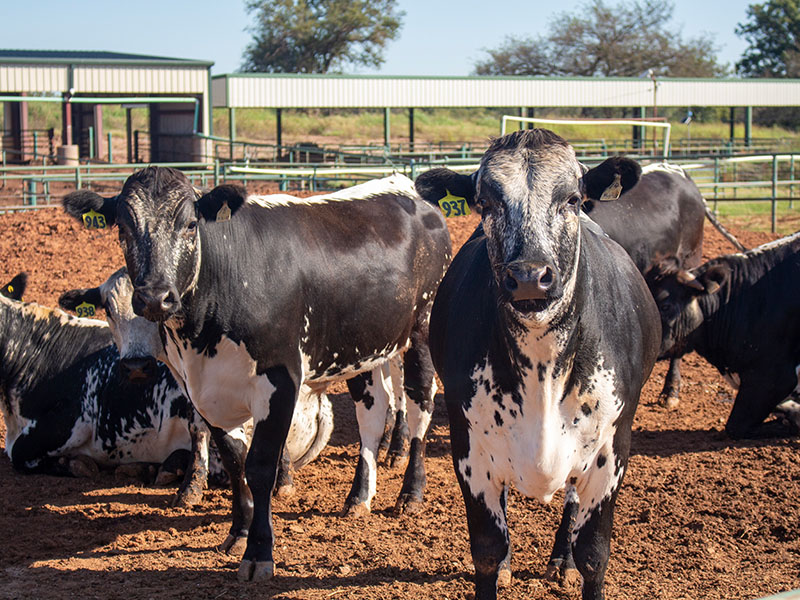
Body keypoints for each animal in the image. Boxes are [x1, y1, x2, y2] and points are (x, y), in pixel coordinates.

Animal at [62, 170, 451, 581]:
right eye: (123, 227)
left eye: (190, 224)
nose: (155, 297)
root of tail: (404, 184)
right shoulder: (204, 392)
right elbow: (235, 463)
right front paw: (239, 532)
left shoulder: (280, 382)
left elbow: (260, 466)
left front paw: (259, 551)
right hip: (365, 351)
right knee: (373, 416)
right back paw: (359, 497)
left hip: (421, 331)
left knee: (420, 406)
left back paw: (411, 493)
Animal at [415, 129, 661, 600]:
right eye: (485, 202)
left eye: (572, 198)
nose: (529, 276)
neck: (542, 369)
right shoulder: (470, 449)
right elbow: (486, 549)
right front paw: (500, 564)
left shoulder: (610, 451)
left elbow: (594, 554)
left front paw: (575, 561)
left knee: (572, 503)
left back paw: (562, 559)